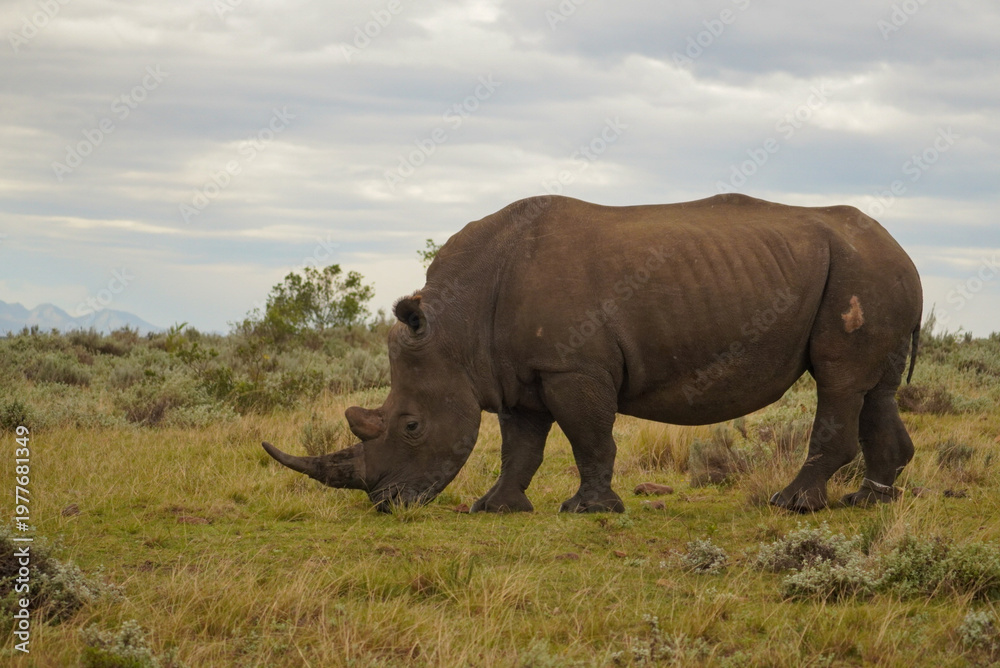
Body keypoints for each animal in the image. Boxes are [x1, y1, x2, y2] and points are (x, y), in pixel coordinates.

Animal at [263, 194, 922, 514]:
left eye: (412, 426)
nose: (386, 504)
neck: (457, 326)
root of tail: (902, 249)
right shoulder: (517, 373)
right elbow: (520, 447)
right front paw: (492, 509)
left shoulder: (570, 367)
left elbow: (588, 437)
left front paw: (588, 510)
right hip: (874, 272)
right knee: (875, 390)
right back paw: (869, 502)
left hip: (862, 271)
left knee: (839, 382)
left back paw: (792, 507)